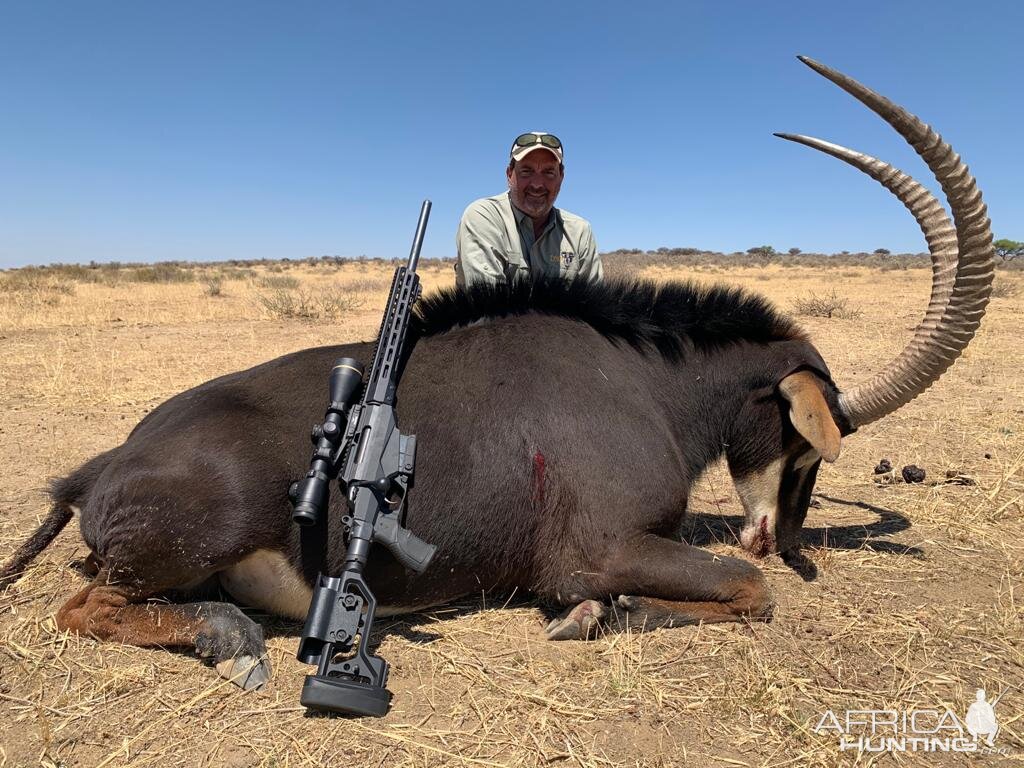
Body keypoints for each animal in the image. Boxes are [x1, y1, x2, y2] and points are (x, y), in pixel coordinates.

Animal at [0, 57, 991, 688]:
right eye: (807, 441)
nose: (778, 539)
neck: (645, 378)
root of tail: (99, 467)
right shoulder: (597, 547)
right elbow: (745, 594)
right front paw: (601, 614)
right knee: (83, 605)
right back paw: (229, 638)